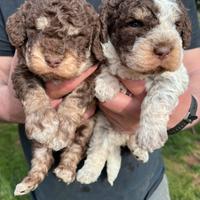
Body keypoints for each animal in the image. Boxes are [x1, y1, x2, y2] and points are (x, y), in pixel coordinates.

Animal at [6, 0, 103, 195]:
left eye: (77, 36)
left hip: (87, 127)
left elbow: (78, 95)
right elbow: (32, 88)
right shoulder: (21, 69)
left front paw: (62, 127)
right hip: (40, 144)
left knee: (76, 147)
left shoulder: (94, 74)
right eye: (36, 30)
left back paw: (66, 170)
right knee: (43, 158)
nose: (52, 60)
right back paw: (28, 183)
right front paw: (43, 122)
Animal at [76, 0, 191, 185]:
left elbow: (159, 95)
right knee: (98, 150)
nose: (164, 51)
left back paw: (140, 150)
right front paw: (106, 84)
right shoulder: (105, 53)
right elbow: (108, 66)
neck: (136, 72)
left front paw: (151, 134)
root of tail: (119, 137)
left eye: (176, 25)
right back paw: (88, 173)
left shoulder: (177, 74)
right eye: (135, 23)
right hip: (102, 129)